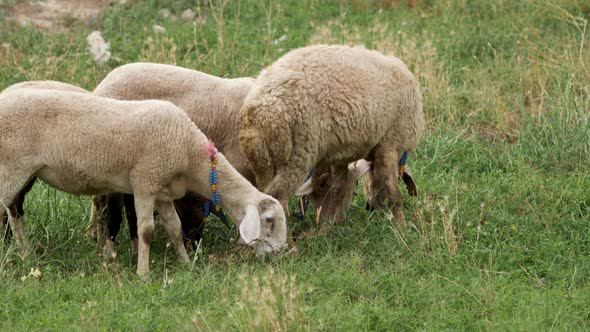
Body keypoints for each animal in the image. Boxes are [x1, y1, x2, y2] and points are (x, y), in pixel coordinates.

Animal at [0, 88, 290, 278]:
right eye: (269, 220)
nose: (278, 255)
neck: (189, 153)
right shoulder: (145, 181)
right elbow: (146, 230)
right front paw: (143, 274)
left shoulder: (163, 190)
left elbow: (175, 228)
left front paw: (186, 263)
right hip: (11, 167)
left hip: (25, 173)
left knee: (15, 210)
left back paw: (24, 252)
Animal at [240, 43, 426, 220]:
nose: (370, 208)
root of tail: (260, 114)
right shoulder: (390, 144)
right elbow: (392, 191)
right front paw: (400, 224)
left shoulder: (342, 153)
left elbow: (338, 189)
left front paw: (330, 224)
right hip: (298, 155)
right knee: (277, 197)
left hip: (256, 163)